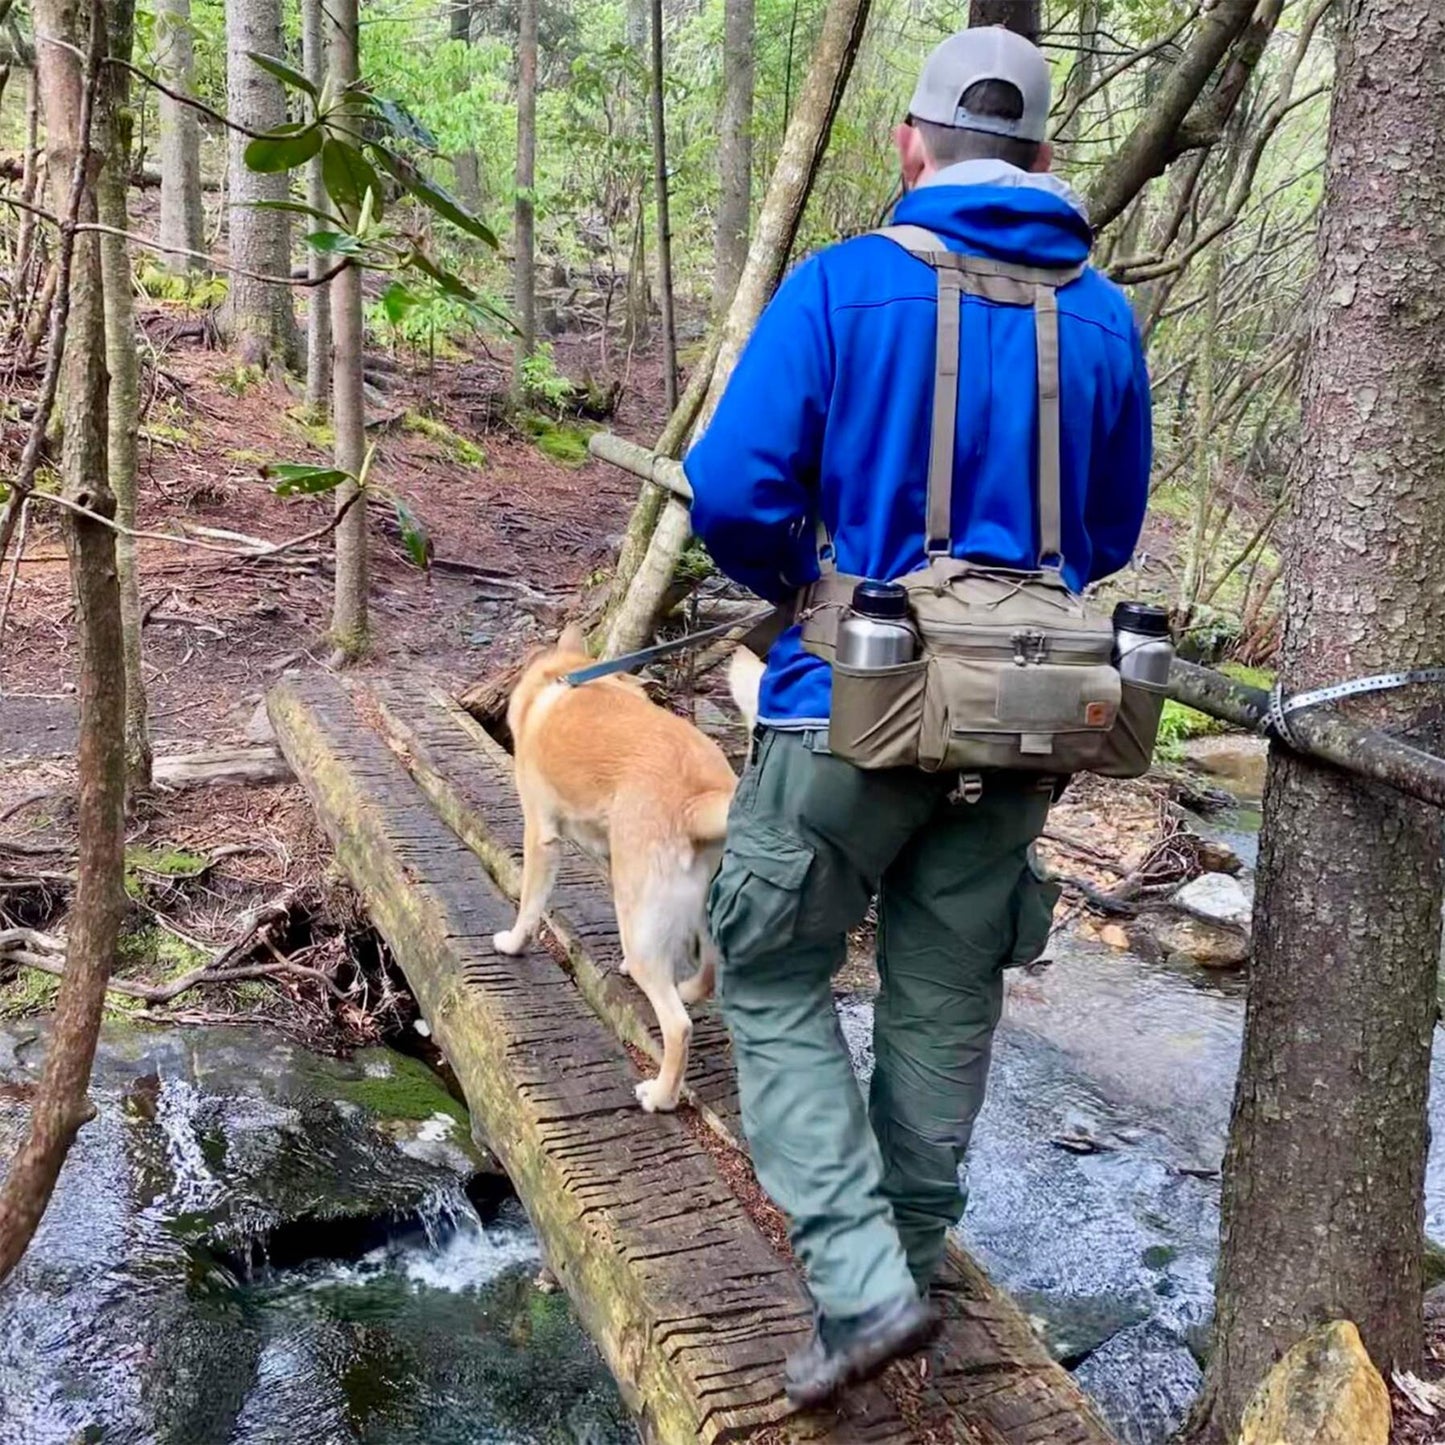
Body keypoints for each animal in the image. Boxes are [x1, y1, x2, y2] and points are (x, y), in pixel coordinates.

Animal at [494, 627, 768, 1109]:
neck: (562, 680)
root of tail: (698, 801)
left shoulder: (541, 835)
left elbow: (529, 905)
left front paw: (513, 943)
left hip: (641, 925)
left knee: (678, 1026)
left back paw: (660, 1096)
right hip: (695, 908)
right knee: (707, 972)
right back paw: (685, 989)